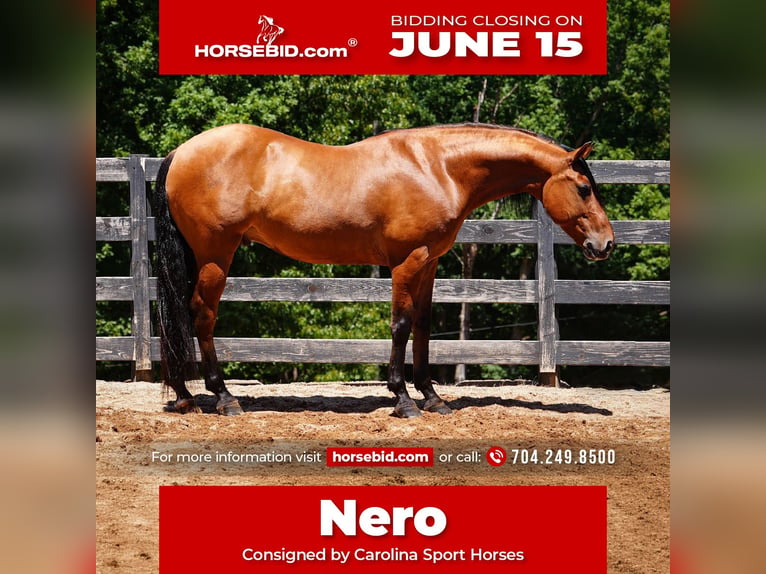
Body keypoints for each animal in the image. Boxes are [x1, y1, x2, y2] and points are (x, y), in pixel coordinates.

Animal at [151, 123, 614, 418]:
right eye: (583, 188)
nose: (606, 244)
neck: (438, 167)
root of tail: (179, 152)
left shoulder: (429, 262)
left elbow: (423, 325)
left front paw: (433, 397)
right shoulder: (407, 261)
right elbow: (401, 324)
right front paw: (403, 399)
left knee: (180, 316)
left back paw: (185, 396)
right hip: (216, 253)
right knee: (201, 315)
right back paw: (223, 397)